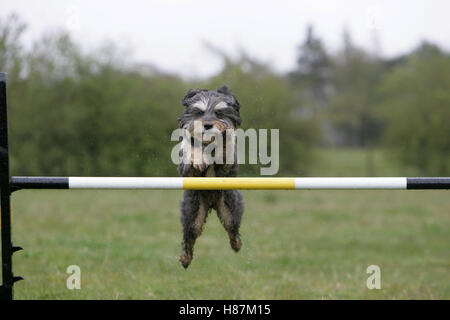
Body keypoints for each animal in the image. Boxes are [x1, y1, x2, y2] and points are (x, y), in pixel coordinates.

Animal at [177, 85, 246, 270]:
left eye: (219, 113)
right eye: (199, 112)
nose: (208, 125)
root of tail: (212, 202)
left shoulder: (228, 166)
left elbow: (226, 144)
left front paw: (224, 138)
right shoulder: (187, 171)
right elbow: (190, 147)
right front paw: (199, 158)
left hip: (231, 209)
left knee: (232, 230)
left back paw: (236, 244)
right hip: (193, 213)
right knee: (189, 236)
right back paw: (185, 259)